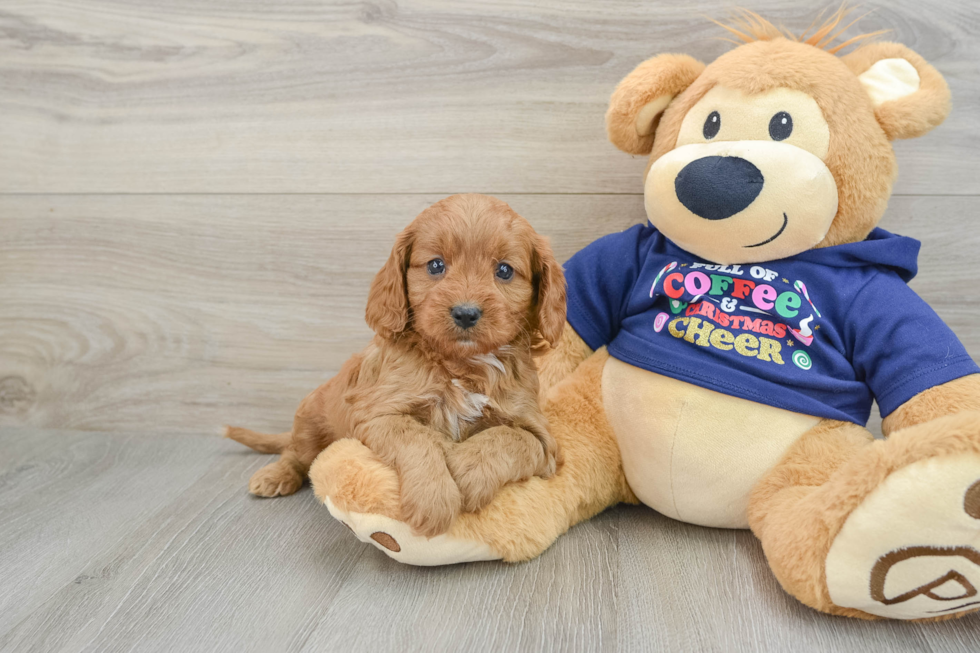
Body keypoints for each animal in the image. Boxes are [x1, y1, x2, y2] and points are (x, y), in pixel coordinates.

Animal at [227, 192, 568, 536]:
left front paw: (466, 471)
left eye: (505, 270)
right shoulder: (378, 414)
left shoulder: (544, 439)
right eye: (435, 265)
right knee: (296, 454)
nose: (465, 313)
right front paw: (434, 498)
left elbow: (512, 439)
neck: (461, 364)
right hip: (310, 422)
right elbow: (417, 437)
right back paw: (274, 476)